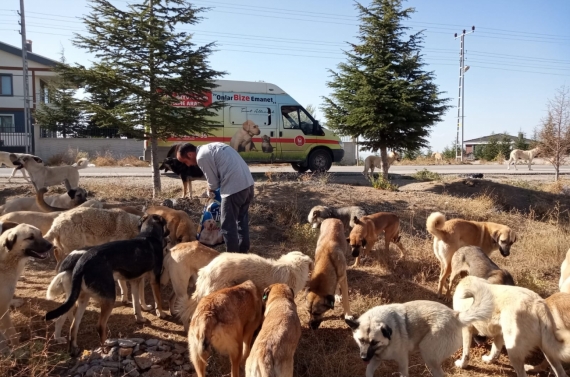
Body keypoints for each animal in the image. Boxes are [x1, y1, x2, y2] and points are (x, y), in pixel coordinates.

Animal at [0, 222, 52, 352]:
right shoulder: (2, 308)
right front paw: (18, 349)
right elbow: (12, 334)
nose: (51, 245)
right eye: (30, 238)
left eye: (40, 234)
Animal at [44, 214, 169, 356]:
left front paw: (141, 316)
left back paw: (71, 347)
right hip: (108, 299)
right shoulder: (154, 278)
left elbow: (137, 302)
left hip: (80, 298)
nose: (169, 238)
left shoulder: (135, 280)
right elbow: (157, 299)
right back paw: (105, 350)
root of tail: (80, 262)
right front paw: (161, 313)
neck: (148, 236)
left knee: (71, 325)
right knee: (99, 326)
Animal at [342, 294, 492, 376]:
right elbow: (368, 371)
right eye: (361, 340)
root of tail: (455, 316)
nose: (363, 357)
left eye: (374, 342)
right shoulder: (375, 359)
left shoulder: (402, 362)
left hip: (427, 353)